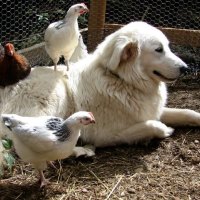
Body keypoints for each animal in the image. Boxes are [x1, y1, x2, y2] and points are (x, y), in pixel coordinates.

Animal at [0, 21, 200, 158]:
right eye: (158, 50)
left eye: (167, 47)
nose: (185, 68)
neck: (121, 80)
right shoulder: (107, 135)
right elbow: (152, 125)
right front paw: (164, 130)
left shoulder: (149, 111)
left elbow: (186, 112)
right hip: (56, 95)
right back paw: (80, 151)